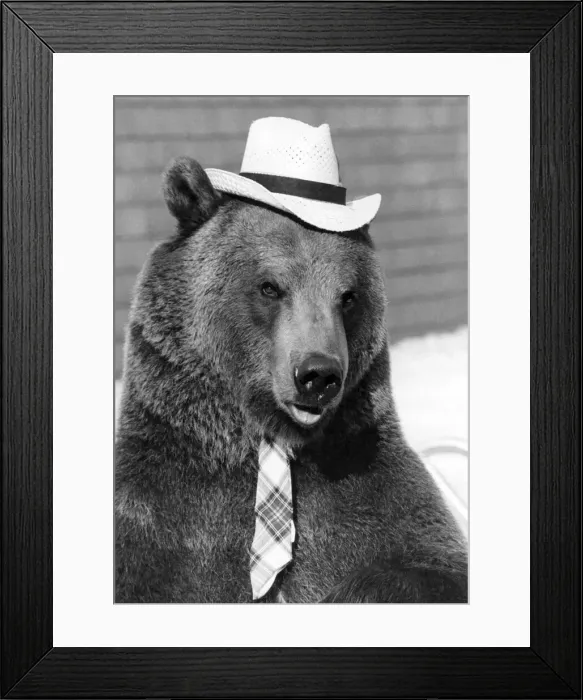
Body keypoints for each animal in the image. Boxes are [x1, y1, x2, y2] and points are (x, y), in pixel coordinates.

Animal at [115, 157, 468, 604]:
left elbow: (426, 562)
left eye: (348, 295)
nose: (318, 375)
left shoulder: (368, 486)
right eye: (269, 286)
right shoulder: (161, 519)